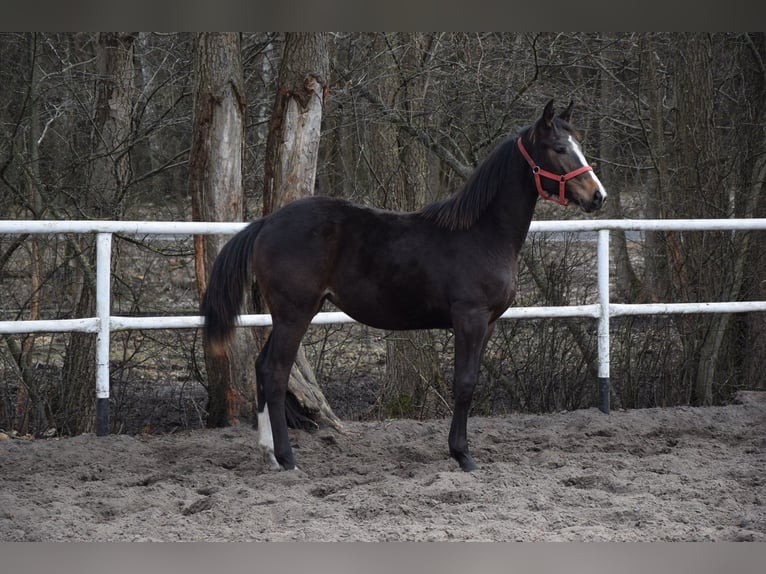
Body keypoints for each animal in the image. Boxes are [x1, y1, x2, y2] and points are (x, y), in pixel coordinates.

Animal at [202, 99, 606, 472]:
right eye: (559, 148)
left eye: (578, 144)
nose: (597, 196)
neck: (483, 233)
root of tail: (266, 223)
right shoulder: (470, 319)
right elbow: (464, 383)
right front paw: (462, 454)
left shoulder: (488, 323)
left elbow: (470, 382)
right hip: (294, 314)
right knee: (275, 371)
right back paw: (286, 458)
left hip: (289, 314)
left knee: (261, 367)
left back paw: (268, 453)